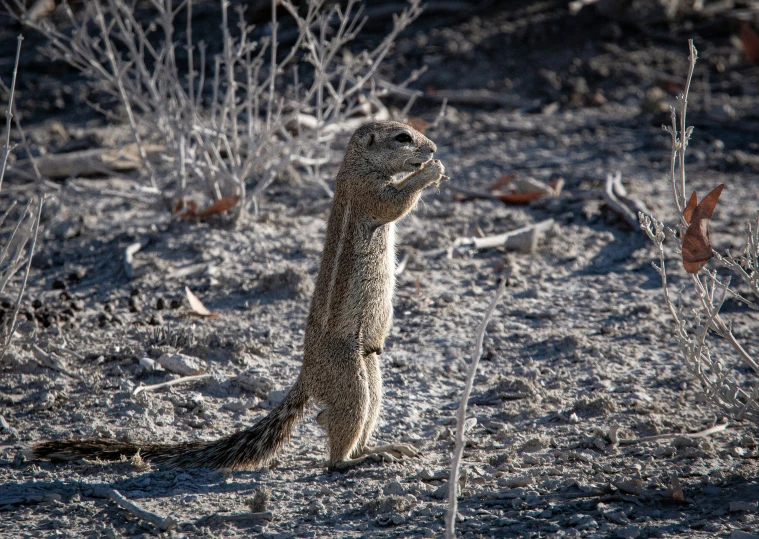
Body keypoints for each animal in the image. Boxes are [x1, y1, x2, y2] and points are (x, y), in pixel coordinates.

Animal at [31, 120, 446, 470]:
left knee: (338, 416)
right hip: (349, 375)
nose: (433, 147)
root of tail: (307, 376)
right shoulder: (367, 193)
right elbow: (394, 204)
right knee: (335, 444)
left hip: (370, 368)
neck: (357, 165)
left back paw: (383, 448)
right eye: (403, 137)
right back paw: (356, 459)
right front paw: (429, 171)